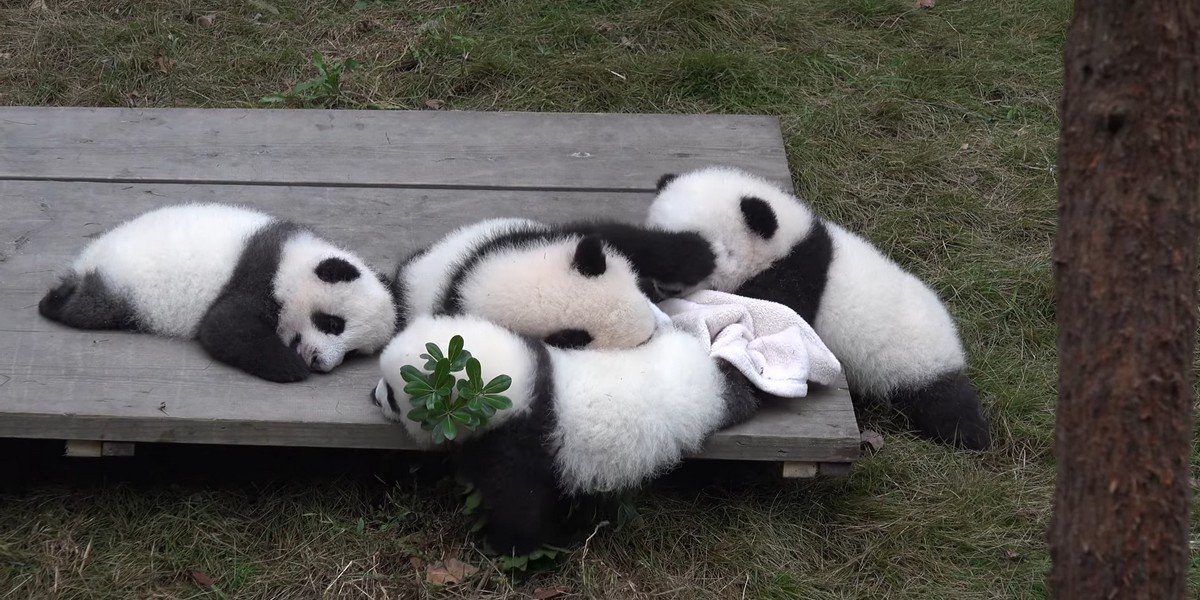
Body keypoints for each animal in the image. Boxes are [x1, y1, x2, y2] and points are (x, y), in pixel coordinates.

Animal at [38, 203, 397, 383]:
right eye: (333, 323)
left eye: (353, 353)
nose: (319, 362)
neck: (294, 259)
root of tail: (87, 257)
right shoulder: (258, 275)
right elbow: (223, 329)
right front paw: (289, 367)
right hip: (122, 284)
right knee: (90, 306)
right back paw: (53, 301)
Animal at [373, 313, 757, 554]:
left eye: (392, 393)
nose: (374, 397)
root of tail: (704, 373)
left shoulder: (523, 442)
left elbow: (521, 505)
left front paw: (507, 548)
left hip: (704, 406)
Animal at [395, 218, 714, 350]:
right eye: (643, 341)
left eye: (641, 291)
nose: (667, 326)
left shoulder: (539, 237)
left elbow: (619, 236)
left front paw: (700, 253)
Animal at [642, 167, 991, 450]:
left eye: (695, 256)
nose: (662, 285)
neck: (788, 241)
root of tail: (952, 336)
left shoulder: (794, 277)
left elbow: (766, 325)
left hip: (918, 360)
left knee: (943, 402)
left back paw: (972, 435)